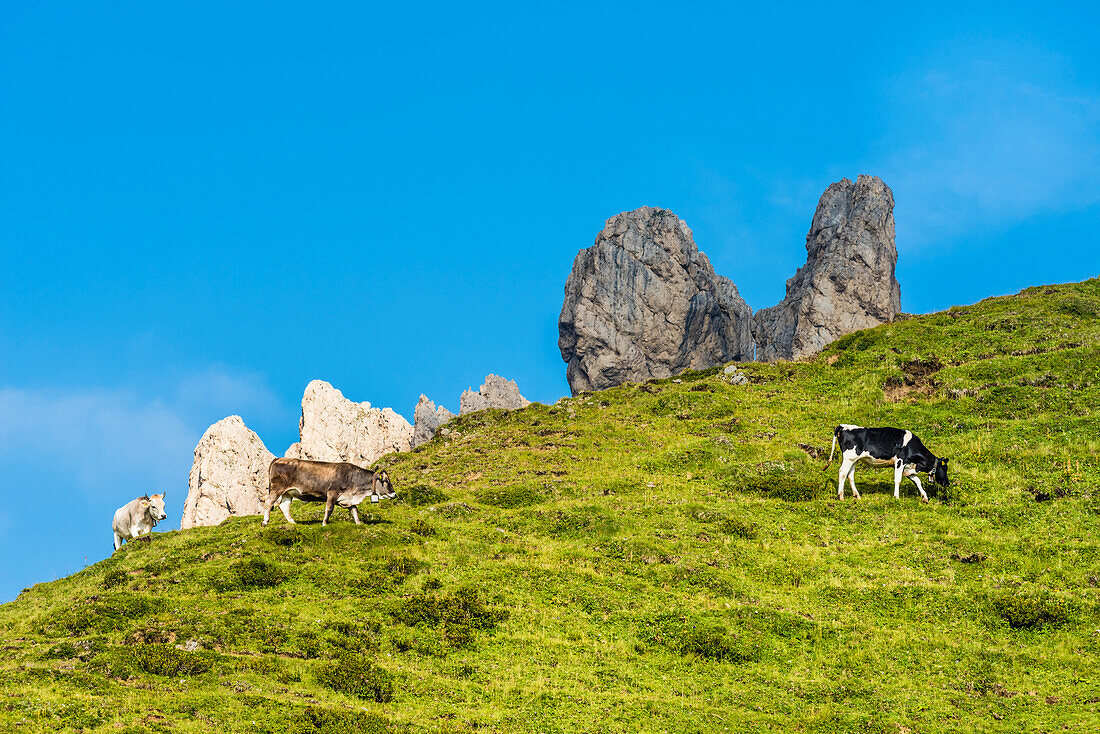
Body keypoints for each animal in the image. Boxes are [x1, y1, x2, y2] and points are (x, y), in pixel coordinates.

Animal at [259, 455, 398, 526]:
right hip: (278, 488)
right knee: (269, 502)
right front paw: (325, 523)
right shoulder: (332, 493)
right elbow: (329, 509)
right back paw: (265, 522)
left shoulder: (348, 498)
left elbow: (354, 510)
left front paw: (359, 523)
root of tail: (279, 458)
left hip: (288, 492)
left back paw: (293, 522)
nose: (395, 494)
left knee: (284, 506)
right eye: (386, 481)